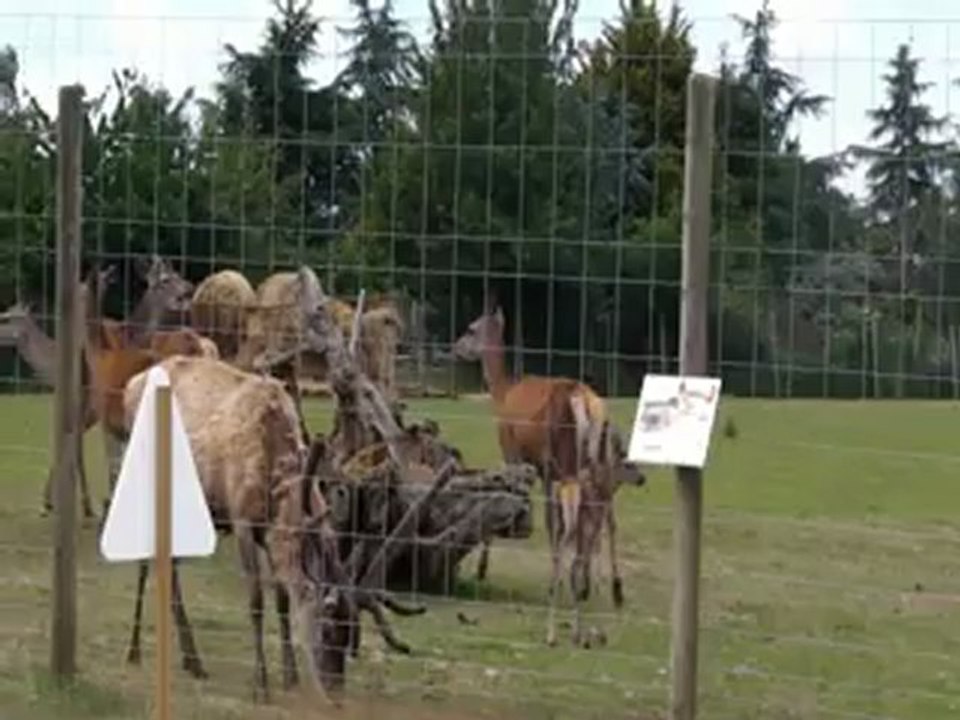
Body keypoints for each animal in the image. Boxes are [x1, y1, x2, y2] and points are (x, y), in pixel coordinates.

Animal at [452, 302, 645, 644]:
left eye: (472, 327)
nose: (455, 348)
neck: (502, 395)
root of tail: (584, 402)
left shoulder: (516, 454)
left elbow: (531, 510)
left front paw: (483, 569)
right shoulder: (546, 472)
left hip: (565, 462)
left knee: (577, 522)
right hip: (595, 466)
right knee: (603, 517)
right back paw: (606, 590)